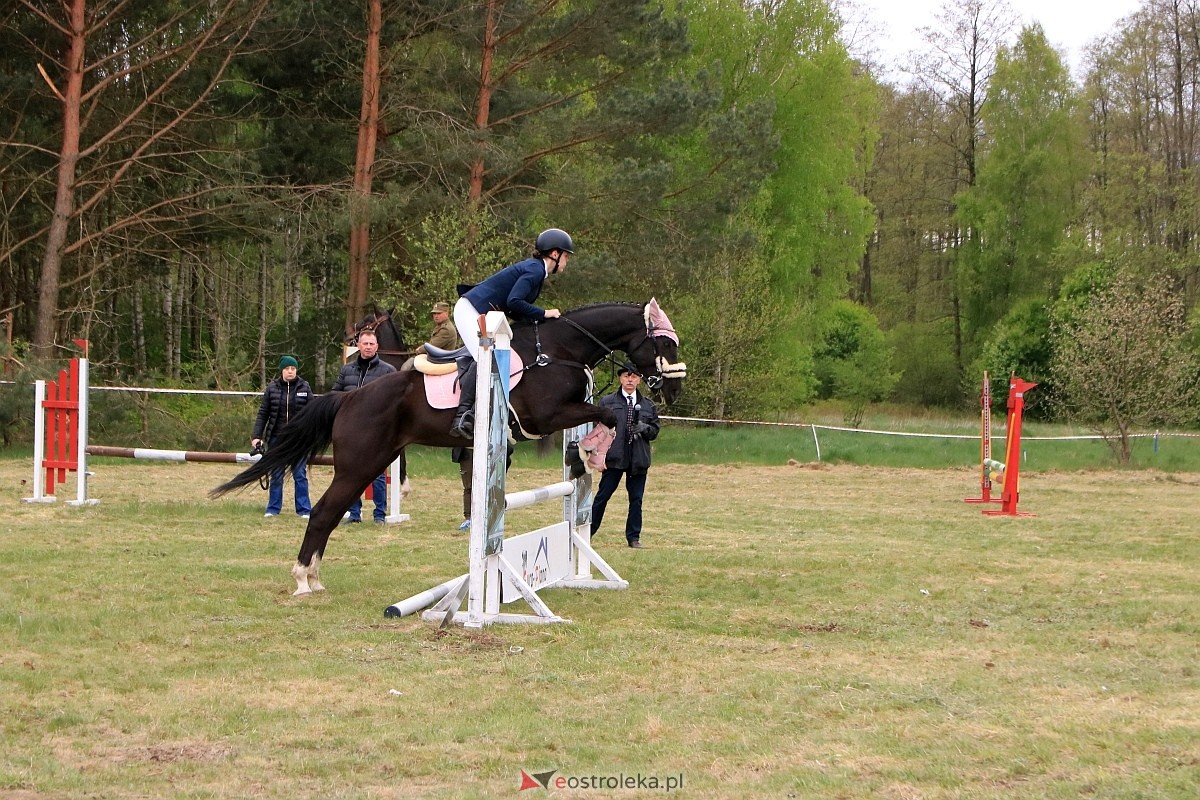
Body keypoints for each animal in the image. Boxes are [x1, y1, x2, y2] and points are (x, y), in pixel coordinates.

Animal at [211, 298, 691, 594]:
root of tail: (348, 397)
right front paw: (592, 450)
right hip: (358, 463)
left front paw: (587, 454)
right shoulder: (547, 417)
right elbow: (608, 416)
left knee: (331, 512)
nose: (674, 388)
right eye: (664, 342)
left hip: (373, 461)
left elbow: (605, 416)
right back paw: (302, 579)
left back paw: (313, 576)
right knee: (324, 512)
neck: (559, 350)